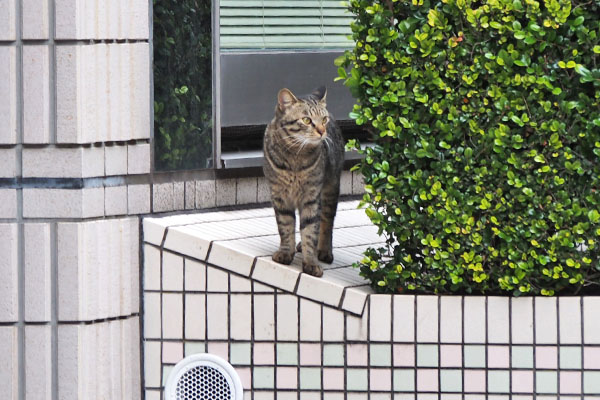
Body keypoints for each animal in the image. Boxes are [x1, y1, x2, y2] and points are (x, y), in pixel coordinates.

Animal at [262, 86, 342, 276]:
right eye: (306, 120)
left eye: (323, 119)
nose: (322, 131)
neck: (295, 156)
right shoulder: (279, 195)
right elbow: (285, 226)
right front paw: (285, 252)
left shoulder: (312, 197)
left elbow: (311, 231)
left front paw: (311, 261)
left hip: (330, 189)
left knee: (326, 222)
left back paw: (324, 250)